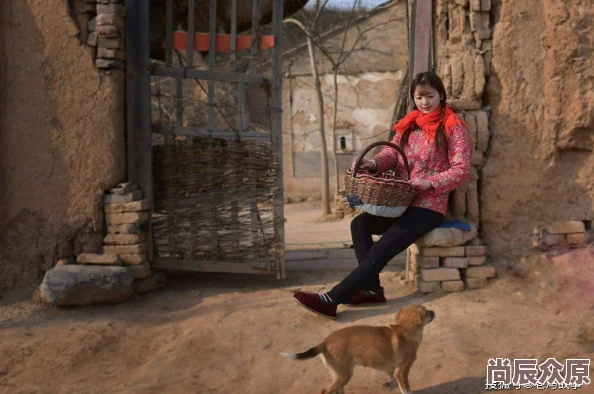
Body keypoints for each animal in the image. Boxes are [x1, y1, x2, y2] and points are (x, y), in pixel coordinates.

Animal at [280, 304, 432, 394]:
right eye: (427, 312)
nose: (434, 312)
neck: (404, 329)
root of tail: (325, 342)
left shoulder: (392, 368)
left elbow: (392, 377)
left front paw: (390, 385)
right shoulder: (402, 371)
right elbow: (406, 388)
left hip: (340, 375)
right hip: (344, 375)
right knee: (325, 391)